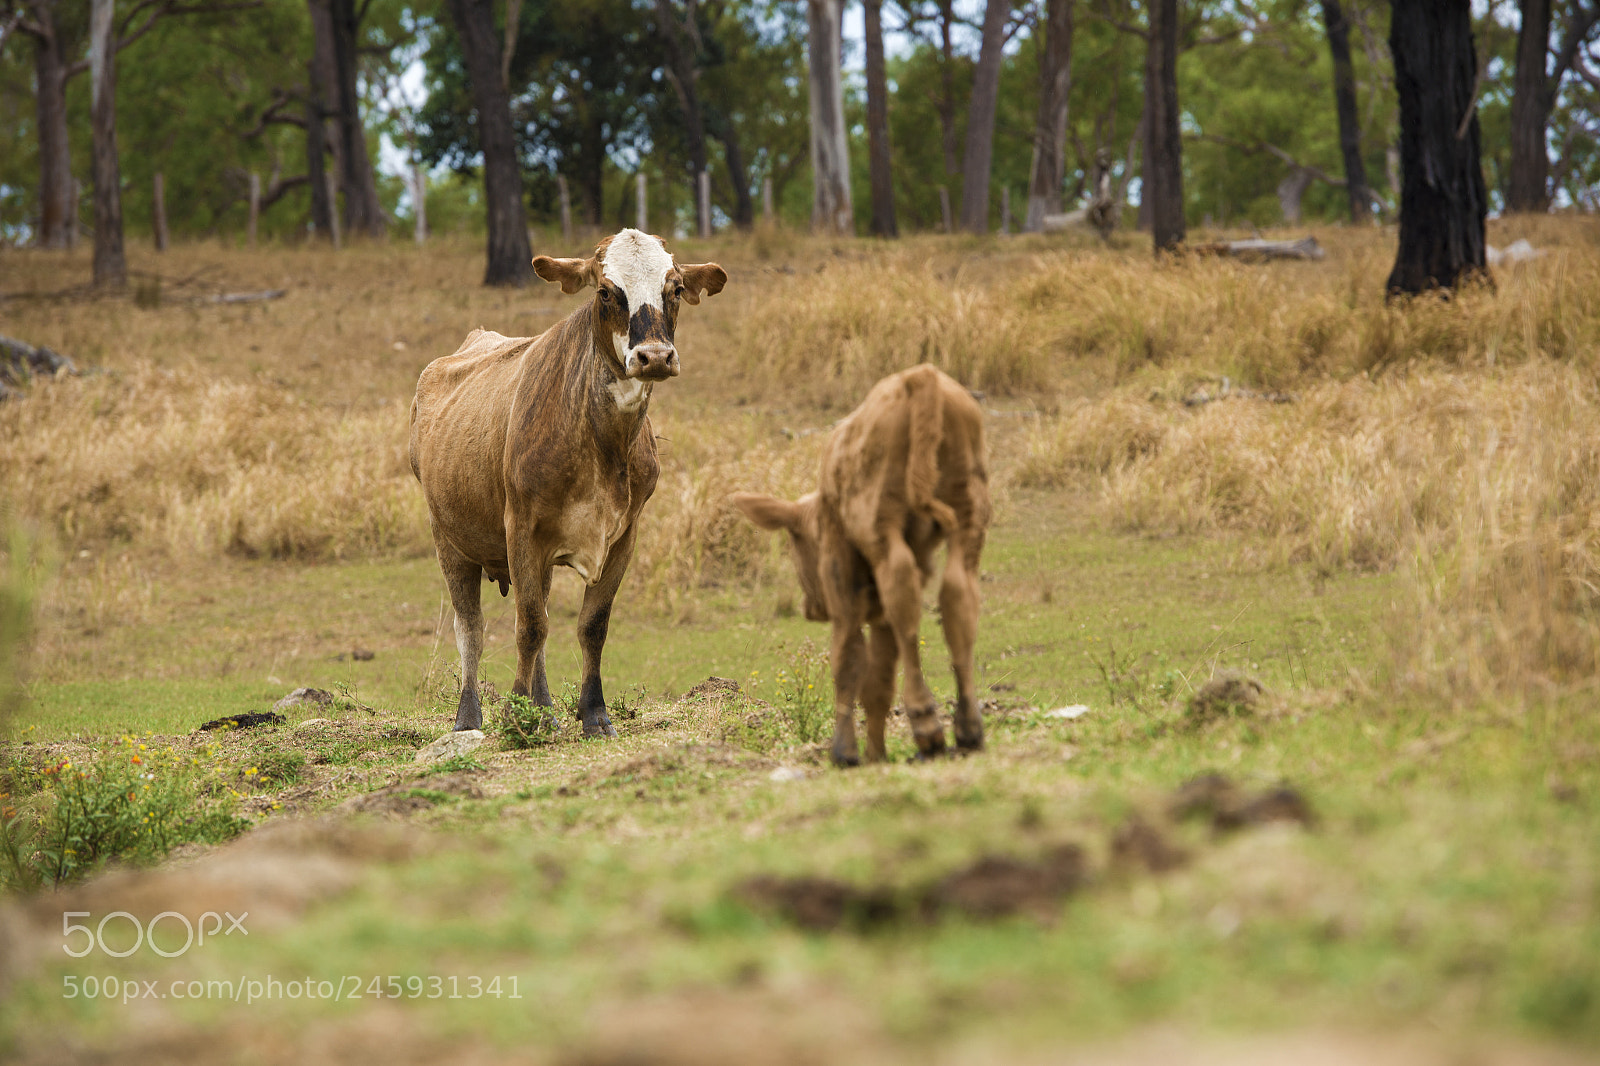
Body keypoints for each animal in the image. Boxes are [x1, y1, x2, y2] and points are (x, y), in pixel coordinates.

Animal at [410, 229, 726, 737]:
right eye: (605, 291)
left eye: (675, 288)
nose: (655, 356)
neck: (602, 445)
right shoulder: (520, 528)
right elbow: (528, 627)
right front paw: (515, 716)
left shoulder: (624, 535)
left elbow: (589, 625)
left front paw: (592, 713)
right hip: (449, 540)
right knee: (471, 628)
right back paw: (469, 717)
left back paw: (543, 710)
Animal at [731, 364, 990, 766]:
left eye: (795, 541)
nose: (811, 607)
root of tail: (920, 375)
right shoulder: (879, 613)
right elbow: (879, 679)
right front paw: (876, 753)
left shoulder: (844, 589)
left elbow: (847, 660)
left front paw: (845, 751)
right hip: (968, 516)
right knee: (957, 598)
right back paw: (968, 728)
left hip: (881, 525)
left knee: (903, 602)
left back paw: (926, 724)